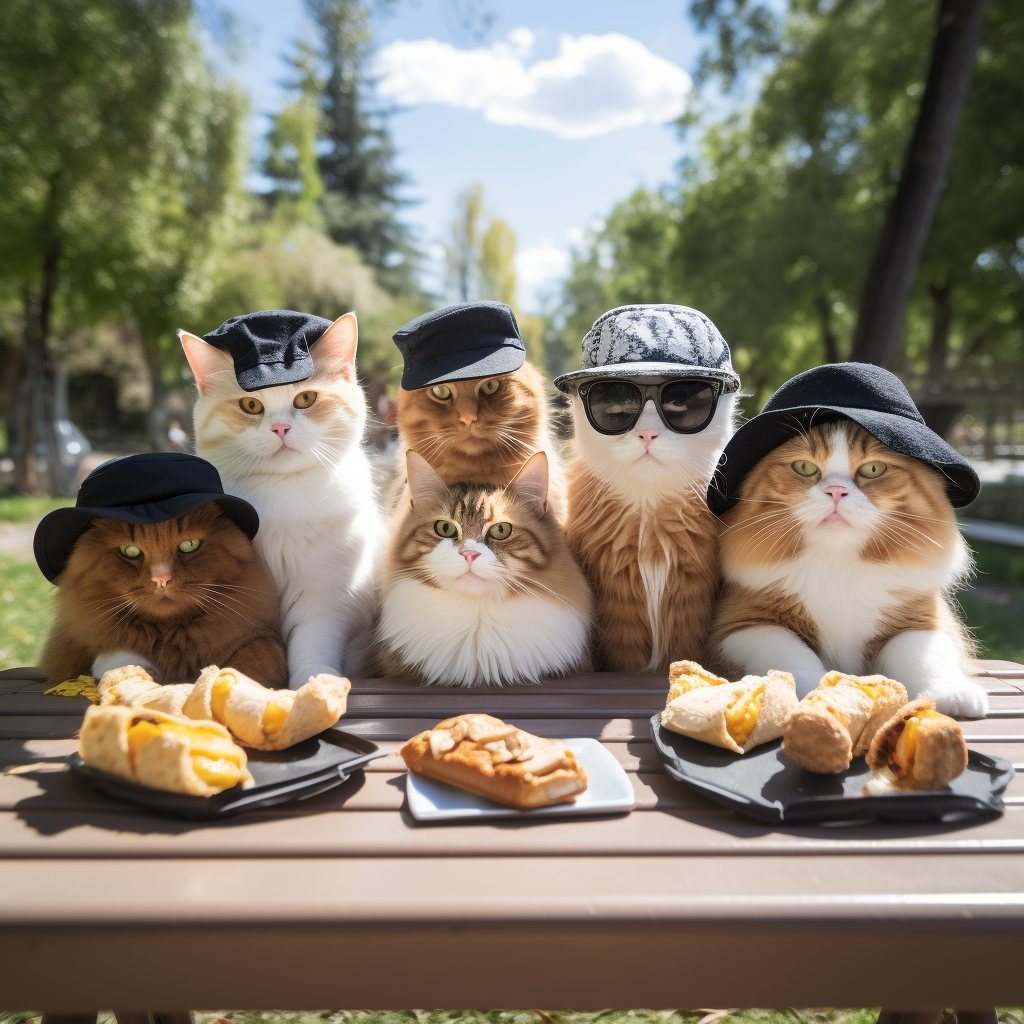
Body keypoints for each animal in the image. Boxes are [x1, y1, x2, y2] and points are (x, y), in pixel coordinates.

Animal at [41, 503, 286, 688]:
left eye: (189, 545)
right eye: (130, 551)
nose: (162, 579)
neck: (167, 638)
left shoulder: (257, 638)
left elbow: (253, 660)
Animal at [708, 364, 987, 724]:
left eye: (873, 468)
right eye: (804, 467)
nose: (836, 491)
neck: (837, 562)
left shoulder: (922, 621)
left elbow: (923, 657)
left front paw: (954, 694)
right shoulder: (741, 624)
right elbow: (791, 655)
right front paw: (814, 692)